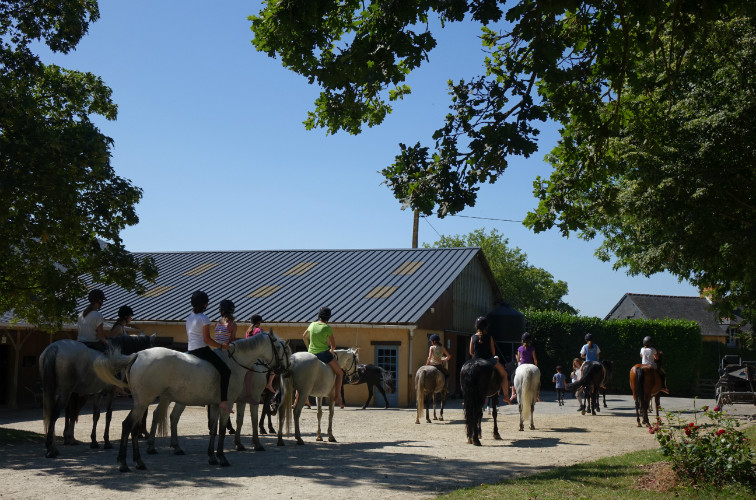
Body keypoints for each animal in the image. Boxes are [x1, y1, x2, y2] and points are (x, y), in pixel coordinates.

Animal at [94, 330, 290, 470]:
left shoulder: (217, 404)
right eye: (281, 348)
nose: (284, 369)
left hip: (144, 402)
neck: (234, 363)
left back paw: (140, 461)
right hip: (145, 401)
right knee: (129, 425)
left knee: (137, 427)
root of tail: (138, 355)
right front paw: (224, 457)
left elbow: (214, 429)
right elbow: (224, 428)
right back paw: (125, 463)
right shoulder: (232, 402)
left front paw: (212, 456)